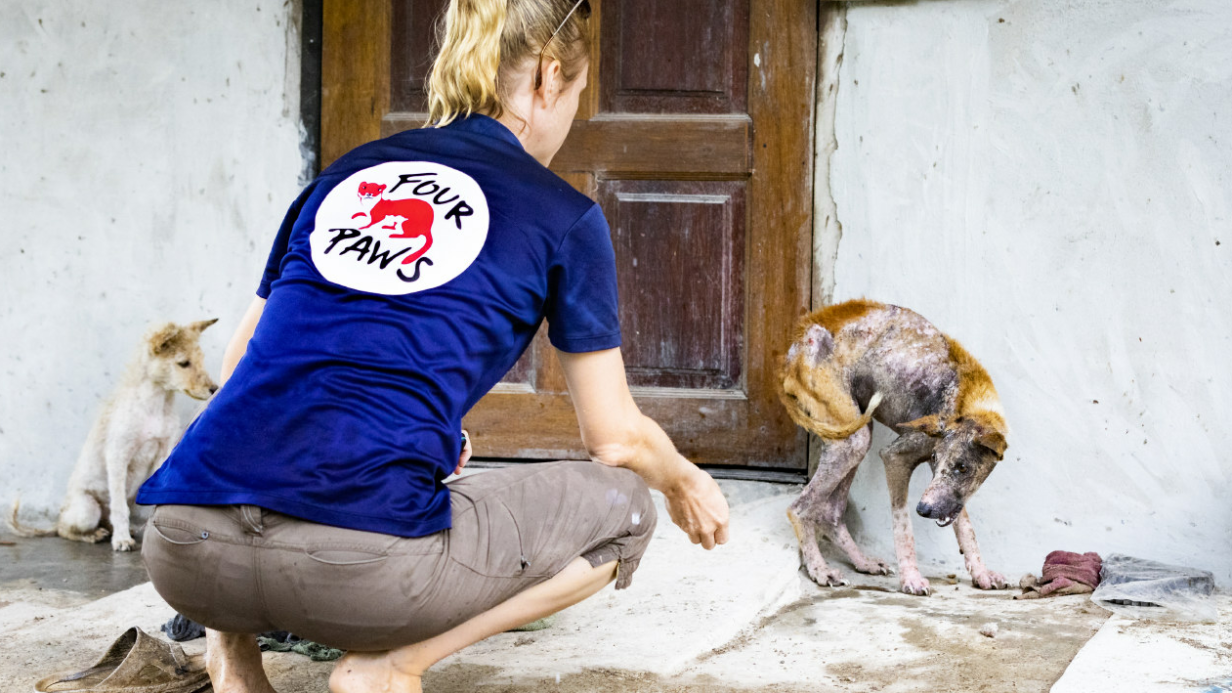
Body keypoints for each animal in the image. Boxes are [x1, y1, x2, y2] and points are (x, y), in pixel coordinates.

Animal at [778, 299, 1010, 596]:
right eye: (936, 459)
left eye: (962, 467)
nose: (924, 510)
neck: (970, 399)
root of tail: (795, 344)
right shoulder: (896, 457)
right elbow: (903, 524)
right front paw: (911, 578)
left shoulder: (946, 490)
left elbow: (965, 526)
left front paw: (981, 573)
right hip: (851, 440)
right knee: (799, 508)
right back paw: (820, 569)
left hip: (857, 436)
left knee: (831, 513)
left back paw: (862, 562)